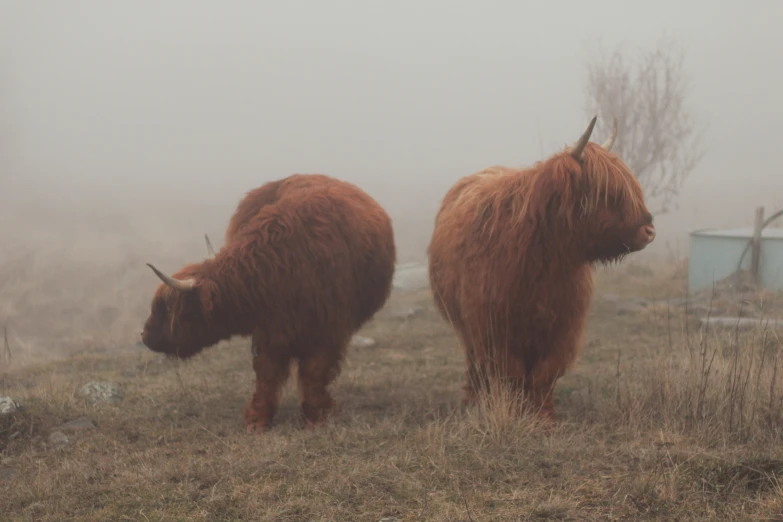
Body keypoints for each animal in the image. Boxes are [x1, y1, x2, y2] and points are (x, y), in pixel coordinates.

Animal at [141, 175, 396, 430]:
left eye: (171, 309)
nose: (145, 335)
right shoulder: (267, 332)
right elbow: (267, 374)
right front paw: (258, 419)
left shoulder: (327, 332)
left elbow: (313, 373)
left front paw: (318, 415)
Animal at [428, 115, 656, 418]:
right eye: (610, 193)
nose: (649, 230)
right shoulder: (495, 328)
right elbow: (512, 374)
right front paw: (516, 410)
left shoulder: (564, 328)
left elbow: (544, 375)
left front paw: (543, 415)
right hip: (465, 325)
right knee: (475, 363)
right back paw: (474, 399)